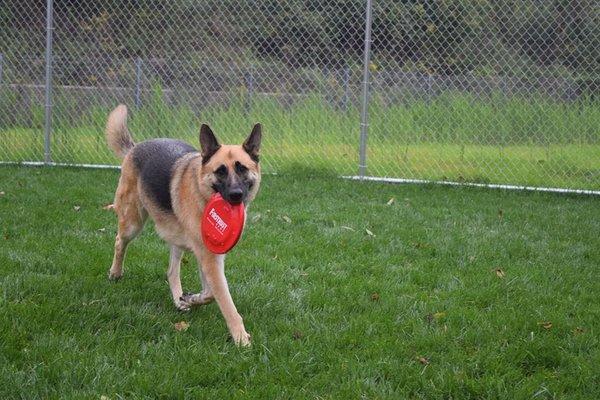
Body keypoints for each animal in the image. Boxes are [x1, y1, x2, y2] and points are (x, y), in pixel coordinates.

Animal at [105, 104, 262, 346]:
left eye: (242, 169)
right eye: (220, 171)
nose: (236, 195)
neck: (203, 195)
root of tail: (136, 147)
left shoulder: (210, 256)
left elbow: (209, 292)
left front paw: (189, 298)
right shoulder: (209, 259)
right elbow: (224, 299)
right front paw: (241, 338)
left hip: (175, 238)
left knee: (171, 271)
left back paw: (179, 300)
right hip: (133, 222)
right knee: (119, 241)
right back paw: (115, 272)